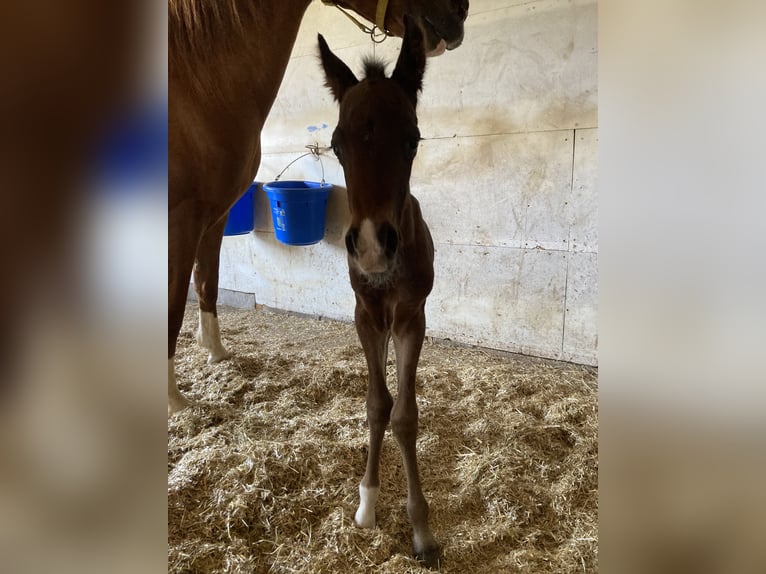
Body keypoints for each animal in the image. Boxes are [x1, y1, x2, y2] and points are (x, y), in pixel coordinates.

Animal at [169, 0, 468, 414]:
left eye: (414, 141)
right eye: (336, 146)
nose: (459, 13)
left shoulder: (212, 213)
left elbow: (206, 282)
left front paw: (214, 352)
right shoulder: (183, 215)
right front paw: (175, 400)